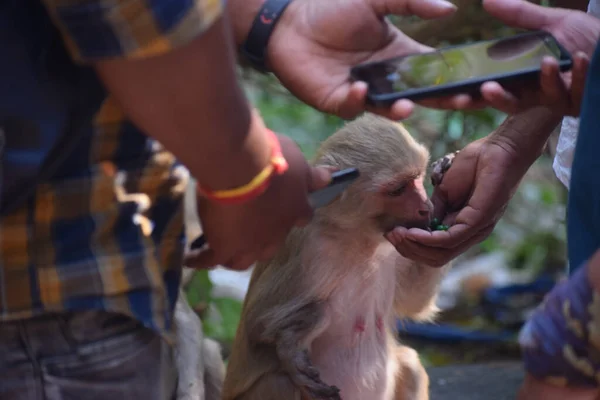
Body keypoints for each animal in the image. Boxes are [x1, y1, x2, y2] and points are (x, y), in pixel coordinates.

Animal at [223, 113, 458, 400]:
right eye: (397, 190)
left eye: (416, 177)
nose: (425, 207)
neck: (357, 235)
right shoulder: (307, 247)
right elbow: (257, 322)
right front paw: (292, 342)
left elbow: (414, 302)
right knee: (282, 383)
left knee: (409, 363)